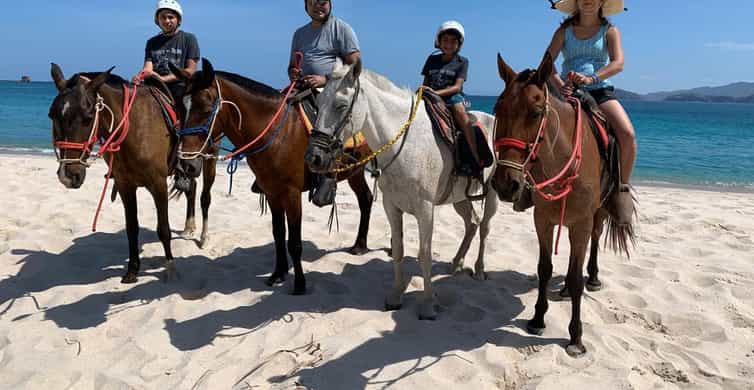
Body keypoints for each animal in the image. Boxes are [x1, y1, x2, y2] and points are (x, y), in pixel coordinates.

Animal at [49, 64, 217, 284]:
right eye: (52, 115)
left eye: (88, 118)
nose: (68, 176)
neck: (135, 128)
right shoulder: (125, 185)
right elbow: (131, 228)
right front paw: (133, 270)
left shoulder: (158, 184)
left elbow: (163, 229)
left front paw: (170, 268)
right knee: (192, 187)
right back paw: (189, 226)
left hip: (208, 158)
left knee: (205, 197)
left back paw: (204, 237)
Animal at [169, 59, 372, 294]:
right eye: (180, 108)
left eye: (206, 108)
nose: (186, 164)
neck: (277, 133)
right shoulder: (272, 192)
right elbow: (278, 234)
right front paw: (278, 274)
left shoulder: (292, 194)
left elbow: (294, 242)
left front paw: (299, 285)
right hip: (355, 172)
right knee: (366, 199)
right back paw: (359, 245)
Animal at [306, 59, 500, 318]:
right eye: (317, 104)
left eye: (341, 105)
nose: (313, 157)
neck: (405, 145)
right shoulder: (392, 206)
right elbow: (398, 250)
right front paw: (396, 296)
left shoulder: (425, 209)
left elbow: (425, 254)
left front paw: (428, 304)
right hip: (460, 198)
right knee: (472, 223)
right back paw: (457, 262)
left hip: (492, 194)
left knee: (485, 228)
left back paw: (479, 269)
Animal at [490, 51, 632, 356]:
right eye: (498, 109)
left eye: (535, 112)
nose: (506, 184)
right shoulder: (543, 220)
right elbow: (544, 269)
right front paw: (537, 319)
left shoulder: (582, 222)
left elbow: (577, 278)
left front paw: (576, 337)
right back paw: (564, 287)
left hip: (597, 214)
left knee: (593, 242)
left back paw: (593, 277)